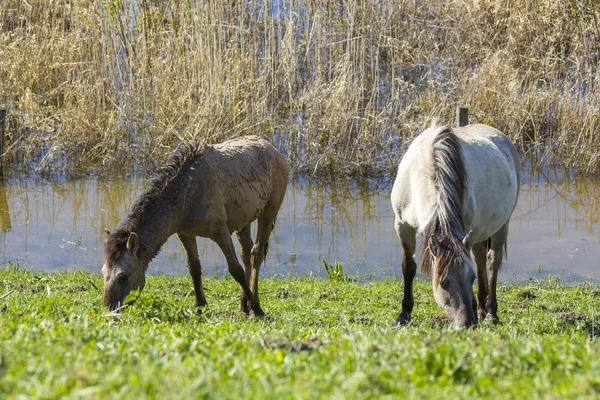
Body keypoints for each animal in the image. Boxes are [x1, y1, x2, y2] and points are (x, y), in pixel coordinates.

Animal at [102, 137, 290, 316]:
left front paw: (257, 308)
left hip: (268, 213)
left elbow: (236, 270)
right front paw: (200, 306)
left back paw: (252, 305)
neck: (186, 199)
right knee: (246, 253)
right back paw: (243, 306)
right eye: (103, 273)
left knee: (256, 254)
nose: (110, 308)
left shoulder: (220, 230)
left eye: (123, 276)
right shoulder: (185, 233)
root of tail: (277, 153)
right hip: (243, 221)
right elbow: (194, 268)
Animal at [392, 122, 516, 328]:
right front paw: (404, 314)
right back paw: (481, 309)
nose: (467, 323)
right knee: (480, 257)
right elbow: (408, 267)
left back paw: (490, 312)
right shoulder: (402, 226)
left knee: (492, 261)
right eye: (443, 283)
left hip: (502, 225)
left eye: (471, 278)